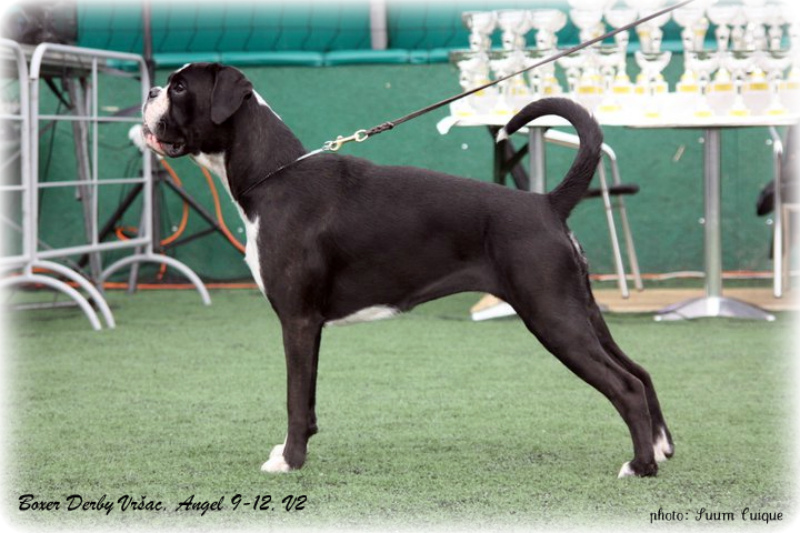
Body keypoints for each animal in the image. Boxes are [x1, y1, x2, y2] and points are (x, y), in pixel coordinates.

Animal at [141, 63, 672, 478]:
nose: (149, 91)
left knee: (625, 386)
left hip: (552, 317)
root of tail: (546, 203)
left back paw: (640, 466)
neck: (274, 176)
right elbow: (307, 400)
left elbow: (294, 398)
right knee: (641, 371)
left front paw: (289, 462)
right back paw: (661, 447)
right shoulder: (309, 327)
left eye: (180, 87)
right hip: (580, 312)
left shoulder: (297, 321)